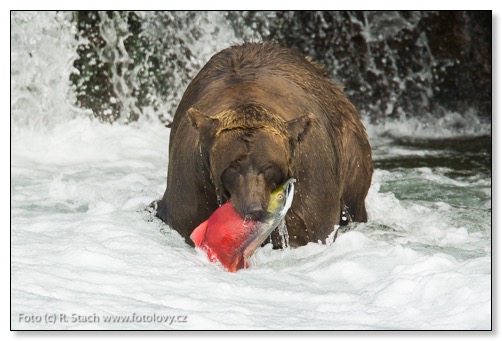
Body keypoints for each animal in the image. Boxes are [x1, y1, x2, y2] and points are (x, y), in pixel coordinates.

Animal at [157, 42, 372, 248]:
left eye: (268, 167)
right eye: (233, 166)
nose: (254, 209)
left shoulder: (310, 178)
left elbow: (312, 228)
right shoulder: (195, 186)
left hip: (351, 151)